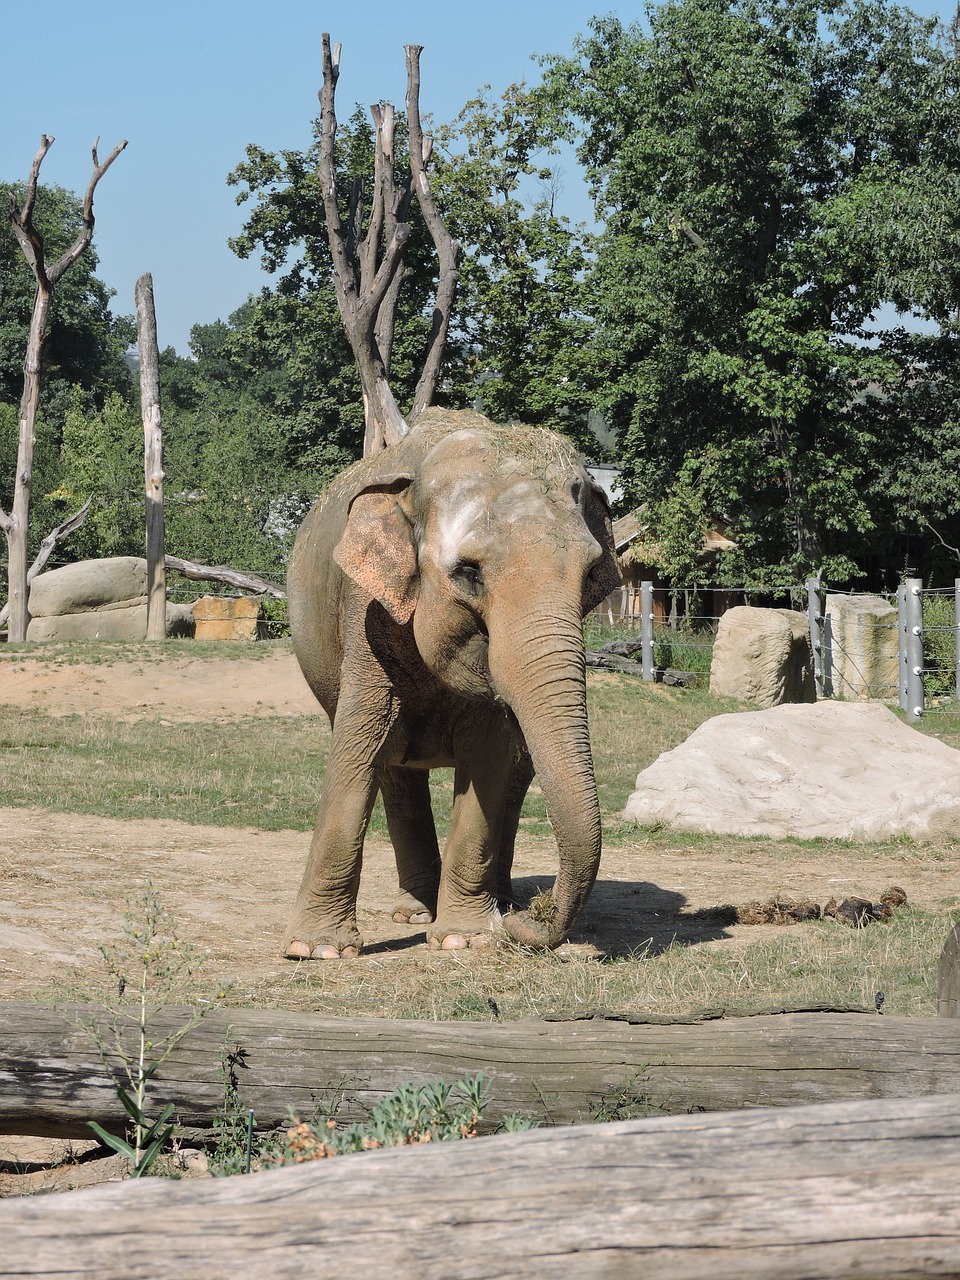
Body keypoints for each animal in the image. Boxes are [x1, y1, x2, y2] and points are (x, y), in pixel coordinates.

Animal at [284, 404, 624, 957]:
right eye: (469, 572)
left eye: (592, 573)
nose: (531, 920)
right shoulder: (365, 610)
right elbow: (359, 741)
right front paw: (317, 950)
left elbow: (488, 753)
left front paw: (468, 939)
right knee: (395, 769)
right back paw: (417, 911)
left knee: (516, 772)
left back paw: (489, 904)